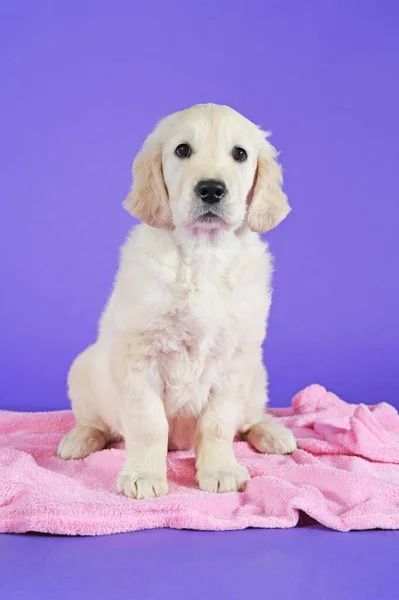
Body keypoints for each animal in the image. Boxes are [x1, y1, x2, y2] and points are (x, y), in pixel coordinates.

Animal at [58, 104, 296, 502]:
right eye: (182, 150)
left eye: (240, 154)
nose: (211, 189)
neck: (203, 255)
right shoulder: (139, 356)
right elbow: (148, 422)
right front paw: (143, 475)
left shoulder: (236, 359)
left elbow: (219, 423)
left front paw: (220, 469)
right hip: (83, 371)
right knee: (97, 423)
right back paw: (79, 439)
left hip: (257, 377)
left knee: (248, 421)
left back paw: (273, 433)